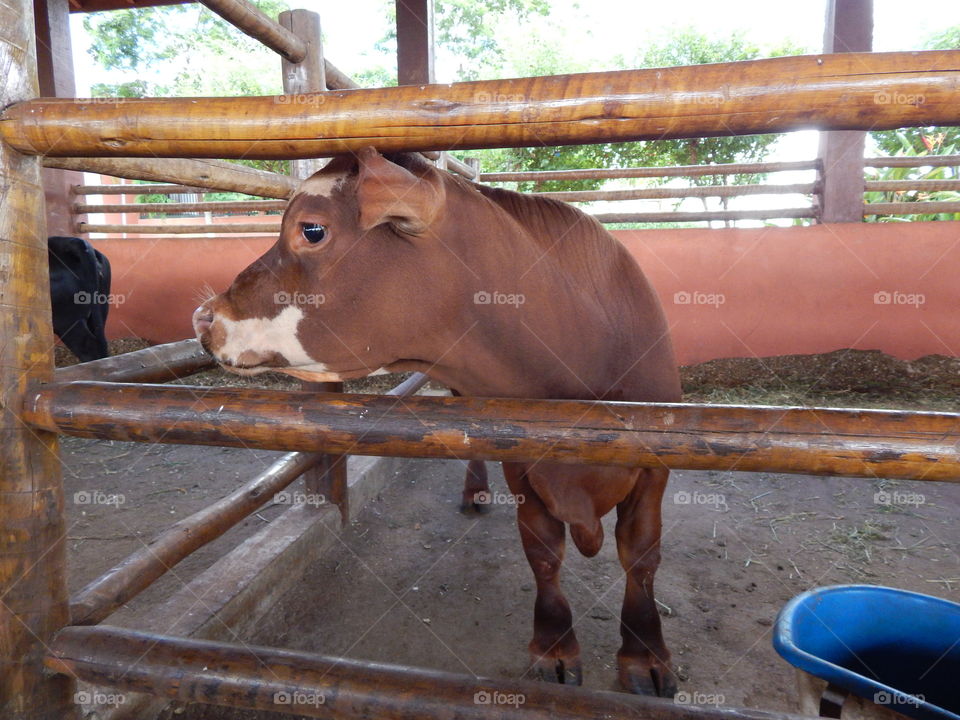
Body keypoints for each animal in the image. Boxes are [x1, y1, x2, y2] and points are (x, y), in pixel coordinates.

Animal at [192, 148, 682, 697]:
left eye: (311, 230)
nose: (204, 316)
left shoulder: (656, 467)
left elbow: (640, 554)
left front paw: (645, 655)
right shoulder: (523, 465)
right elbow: (543, 551)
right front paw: (554, 645)